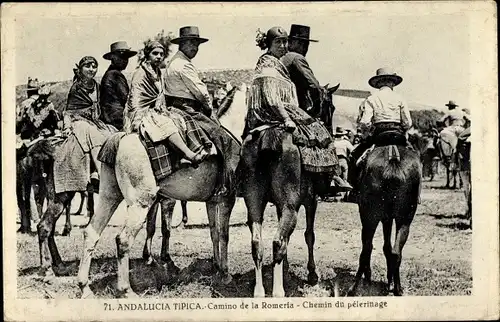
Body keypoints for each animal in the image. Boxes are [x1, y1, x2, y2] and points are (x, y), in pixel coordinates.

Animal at [348, 132, 422, 296]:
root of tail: (393, 159)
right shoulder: (387, 218)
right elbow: (387, 247)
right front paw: (390, 281)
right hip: (404, 219)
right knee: (396, 252)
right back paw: (397, 288)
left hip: (369, 217)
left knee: (366, 249)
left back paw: (355, 287)